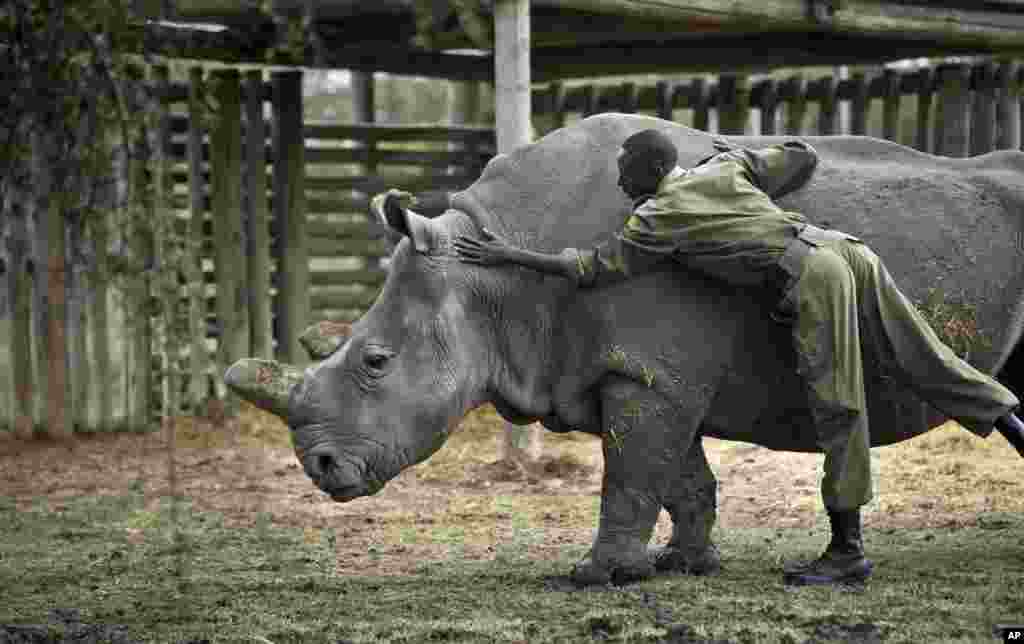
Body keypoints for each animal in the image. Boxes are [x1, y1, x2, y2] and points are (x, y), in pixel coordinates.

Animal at [225, 113, 1024, 586]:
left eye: (375, 363)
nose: (322, 469)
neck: (490, 283)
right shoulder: (643, 372)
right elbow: (677, 475)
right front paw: (684, 564)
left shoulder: (648, 371)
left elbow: (632, 473)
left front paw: (596, 574)